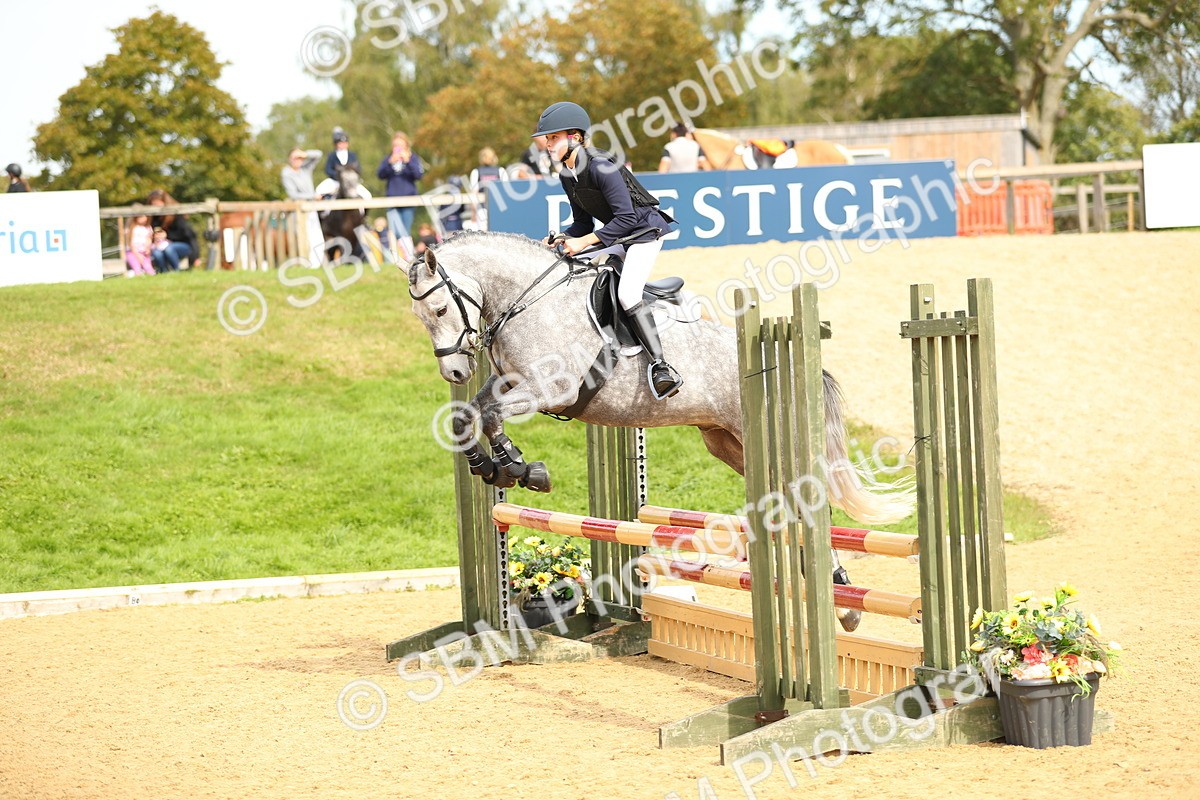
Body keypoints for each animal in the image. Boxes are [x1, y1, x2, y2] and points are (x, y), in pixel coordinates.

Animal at [406, 230, 916, 632]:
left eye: (439, 309)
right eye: (421, 317)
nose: (454, 371)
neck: (529, 301)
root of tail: (791, 359)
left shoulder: (550, 390)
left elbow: (491, 416)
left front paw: (517, 467)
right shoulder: (510, 383)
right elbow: (467, 416)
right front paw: (495, 467)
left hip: (770, 439)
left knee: (811, 503)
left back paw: (842, 601)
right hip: (730, 443)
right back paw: (835, 596)